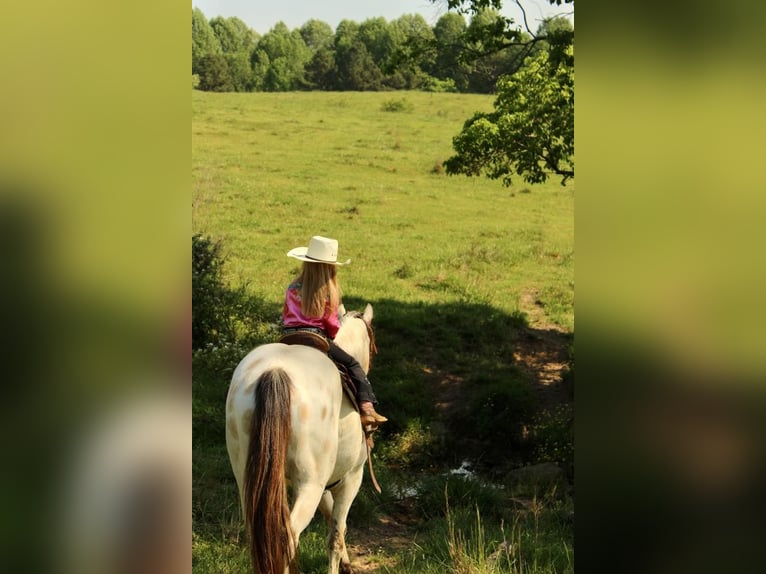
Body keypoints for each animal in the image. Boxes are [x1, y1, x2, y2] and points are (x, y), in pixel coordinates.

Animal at [225, 304, 378, 572]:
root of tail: (276, 371)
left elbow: (330, 520)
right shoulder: (352, 478)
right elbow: (336, 533)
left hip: (248, 480)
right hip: (310, 485)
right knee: (287, 537)